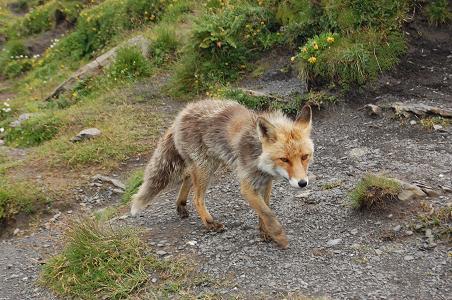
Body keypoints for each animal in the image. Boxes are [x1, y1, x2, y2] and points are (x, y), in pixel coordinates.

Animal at [131, 99, 314, 248]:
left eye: (305, 157)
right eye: (284, 159)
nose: (302, 183)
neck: (259, 155)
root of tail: (182, 112)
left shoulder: (265, 182)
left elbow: (264, 209)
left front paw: (265, 231)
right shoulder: (247, 186)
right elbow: (267, 212)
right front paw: (279, 236)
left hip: (209, 164)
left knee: (188, 177)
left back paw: (181, 206)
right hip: (206, 167)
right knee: (197, 198)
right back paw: (209, 223)